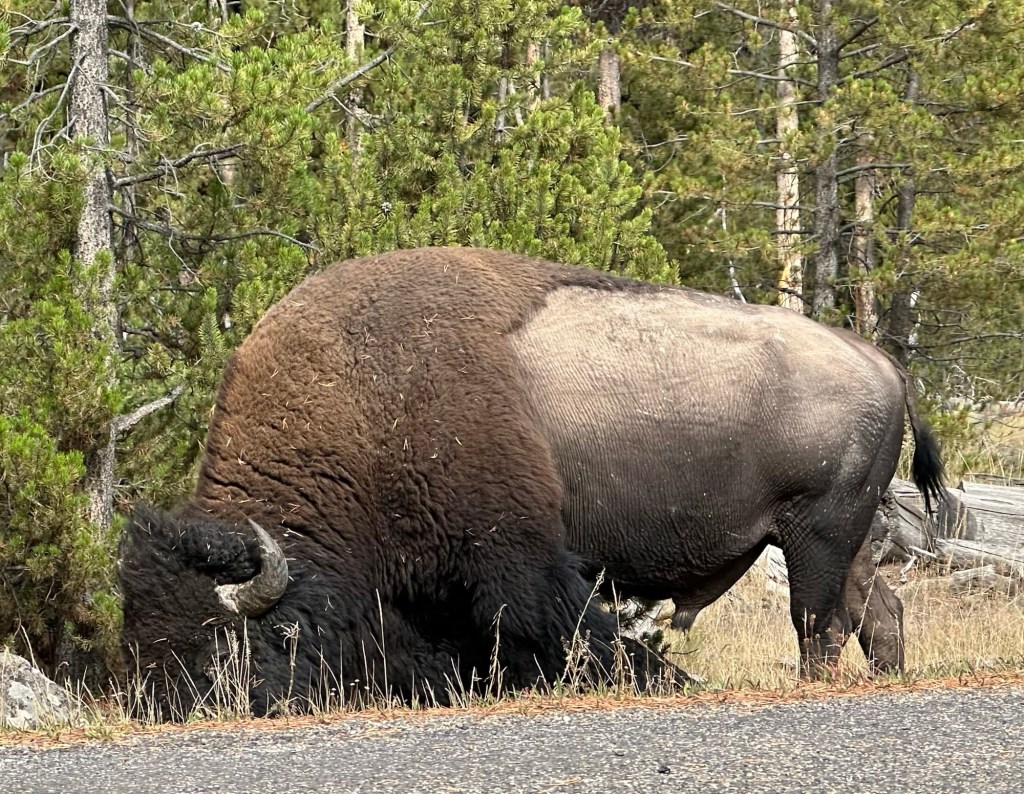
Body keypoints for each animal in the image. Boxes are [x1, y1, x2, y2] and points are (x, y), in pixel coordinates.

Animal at [119, 247, 943, 717]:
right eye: (138, 630)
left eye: (224, 641)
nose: (168, 706)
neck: (363, 403)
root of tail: (883, 363)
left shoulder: (516, 557)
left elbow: (563, 629)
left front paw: (664, 684)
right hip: (847, 538)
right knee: (879, 613)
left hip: (815, 536)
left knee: (819, 624)